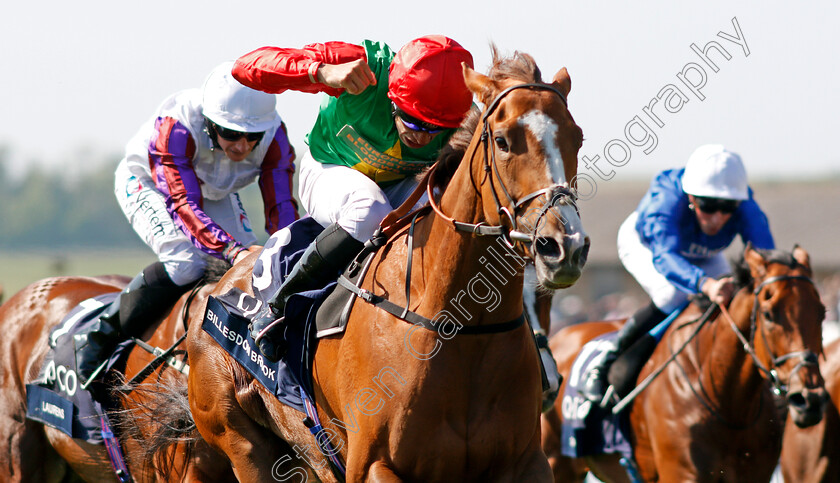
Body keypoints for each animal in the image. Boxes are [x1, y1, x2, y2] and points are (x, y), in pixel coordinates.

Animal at [186, 47, 588, 482]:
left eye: (577, 137)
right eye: (502, 140)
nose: (563, 245)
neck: (462, 328)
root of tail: (225, 279)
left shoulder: (527, 462)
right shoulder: (374, 463)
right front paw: (343, 73)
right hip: (241, 442)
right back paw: (267, 318)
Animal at [544, 248, 828, 483]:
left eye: (822, 312)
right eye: (768, 314)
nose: (810, 399)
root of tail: (558, 336)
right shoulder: (682, 474)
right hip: (556, 460)